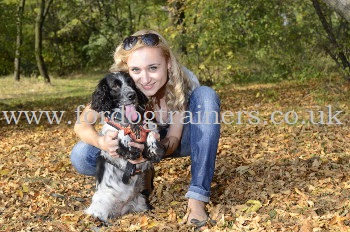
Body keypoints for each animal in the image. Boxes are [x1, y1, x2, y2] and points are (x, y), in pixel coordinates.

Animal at [85, 71, 166, 222]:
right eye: (115, 86)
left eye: (131, 83)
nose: (132, 95)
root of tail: (121, 210)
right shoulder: (111, 132)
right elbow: (120, 131)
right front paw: (128, 148)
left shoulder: (148, 125)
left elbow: (151, 132)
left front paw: (153, 151)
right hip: (100, 205)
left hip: (141, 200)